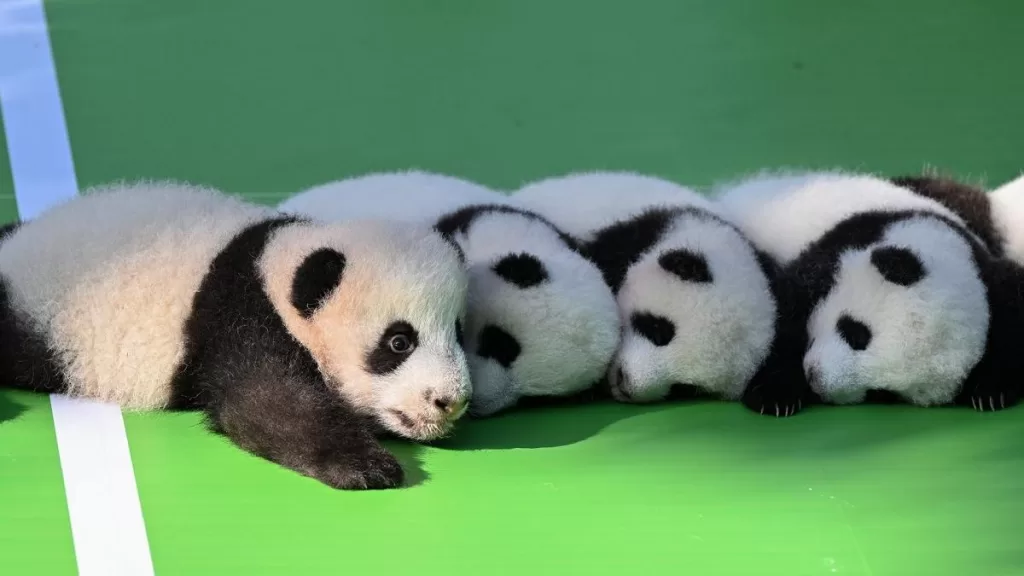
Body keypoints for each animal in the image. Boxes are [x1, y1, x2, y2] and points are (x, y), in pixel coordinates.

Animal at [0, 180, 472, 490]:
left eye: (458, 332)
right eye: (399, 342)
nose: (450, 401)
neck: (278, 260)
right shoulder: (241, 315)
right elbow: (267, 403)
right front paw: (366, 466)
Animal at [713, 170, 1024, 411]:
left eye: (883, 393)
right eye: (856, 332)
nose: (816, 378)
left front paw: (989, 392)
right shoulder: (833, 252)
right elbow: (783, 314)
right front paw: (773, 395)